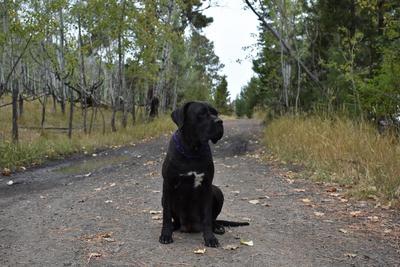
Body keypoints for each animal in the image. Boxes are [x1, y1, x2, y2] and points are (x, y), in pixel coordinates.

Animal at [159, 101, 247, 248]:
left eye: (216, 113)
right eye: (201, 114)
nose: (220, 121)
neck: (192, 150)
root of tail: (189, 226)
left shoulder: (207, 186)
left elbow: (207, 216)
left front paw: (210, 238)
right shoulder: (168, 184)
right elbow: (166, 214)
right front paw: (165, 235)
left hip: (217, 191)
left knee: (212, 219)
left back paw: (217, 227)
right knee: (173, 219)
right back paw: (173, 227)